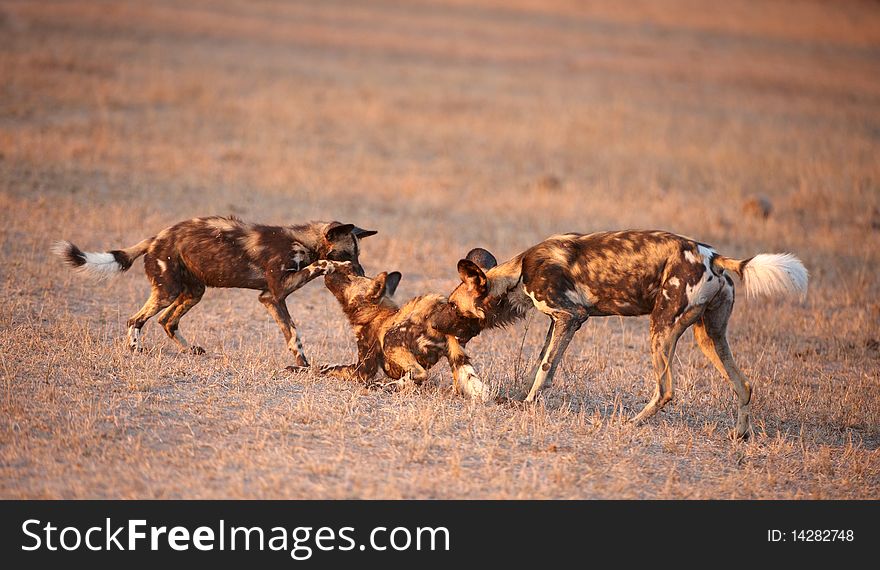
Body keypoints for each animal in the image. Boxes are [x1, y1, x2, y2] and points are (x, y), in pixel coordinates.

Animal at [51, 214, 374, 368]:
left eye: (358, 255)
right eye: (348, 254)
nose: (361, 273)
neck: (304, 241)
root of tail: (156, 237)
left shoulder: (271, 299)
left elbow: (292, 336)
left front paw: (302, 365)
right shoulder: (275, 294)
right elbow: (296, 331)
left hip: (194, 292)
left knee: (166, 321)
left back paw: (189, 350)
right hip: (168, 291)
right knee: (136, 320)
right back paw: (135, 349)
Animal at [322, 262, 488, 400]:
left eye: (349, 278)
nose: (327, 273)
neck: (374, 314)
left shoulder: (363, 369)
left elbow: (335, 369)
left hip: (391, 339)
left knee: (420, 373)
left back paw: (385, 387)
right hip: (455, 357)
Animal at [450, 229, 808, 438]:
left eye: (452, 307)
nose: (445, 327)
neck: (518, 273)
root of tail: (713, 257)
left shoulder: (571, 316)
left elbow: (545, 368)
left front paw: (527, 405)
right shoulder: (560, 321)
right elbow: (540, 362)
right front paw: (521, 398)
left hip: (660, 329)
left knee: (666, 390)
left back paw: (631, 423)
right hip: (709, 337)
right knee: (743, 385)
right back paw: (740, 435)